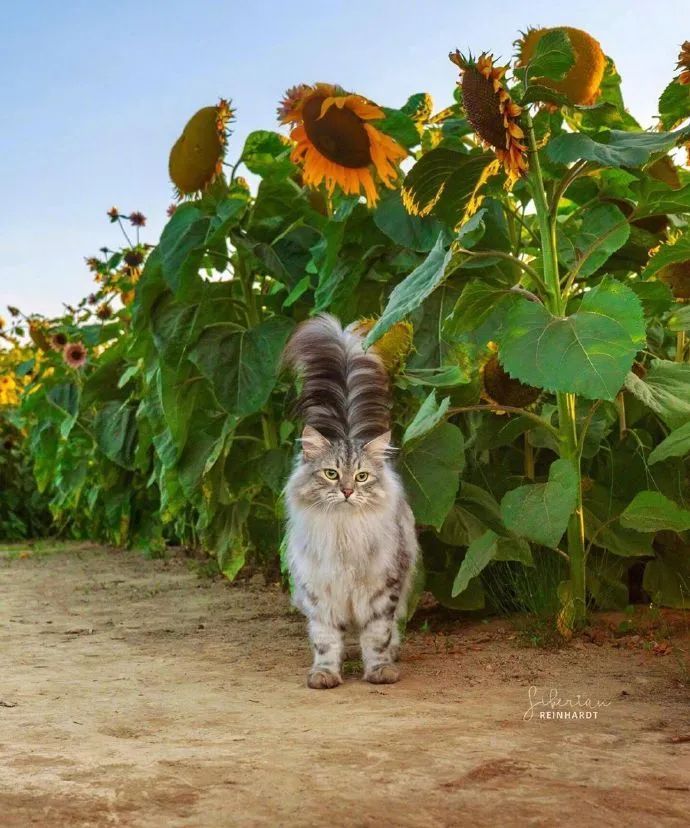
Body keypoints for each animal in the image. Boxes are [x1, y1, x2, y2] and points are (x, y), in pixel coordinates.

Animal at [280, 314, 420, 688]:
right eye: (331, 474)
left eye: (361, 477)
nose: (346, 491)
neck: (343, 531)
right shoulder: (320, 593)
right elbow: (326, 641)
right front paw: (324, 675)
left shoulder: (383, 589)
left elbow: (377, 636)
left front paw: (380, 671)